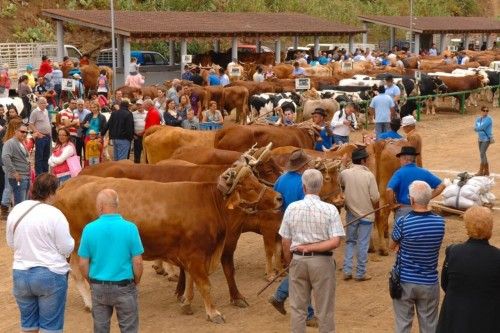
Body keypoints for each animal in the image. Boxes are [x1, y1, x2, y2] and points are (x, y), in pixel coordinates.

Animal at [55, 162, 282, 320]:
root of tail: (68, 184)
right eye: (249, 188)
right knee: (77, 273)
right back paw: (90, 302)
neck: (208, 202)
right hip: (77, 244)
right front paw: (213, 312)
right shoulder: (196, 254)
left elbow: (191, 279)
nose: (279, 197)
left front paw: (187, 302)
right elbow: (204, 284)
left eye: (256, 181)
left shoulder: (191, 254)